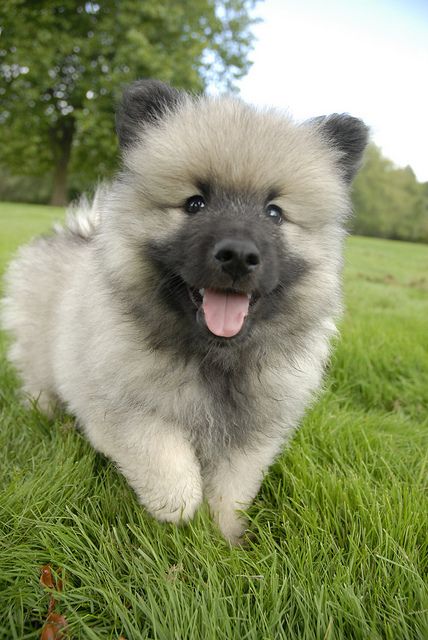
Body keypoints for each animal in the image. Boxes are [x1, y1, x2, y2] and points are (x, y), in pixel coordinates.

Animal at [0, 79, 368, 540]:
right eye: (195, 203)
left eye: (274, 212)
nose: (238, 255)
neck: (214, 358)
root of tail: (76, 233)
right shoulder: (123, 409)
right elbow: (169, 465)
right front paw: (176, 513)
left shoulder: (252, 435)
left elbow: (232, 489)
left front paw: (224, 535)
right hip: (39, 356)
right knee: (39, 388)